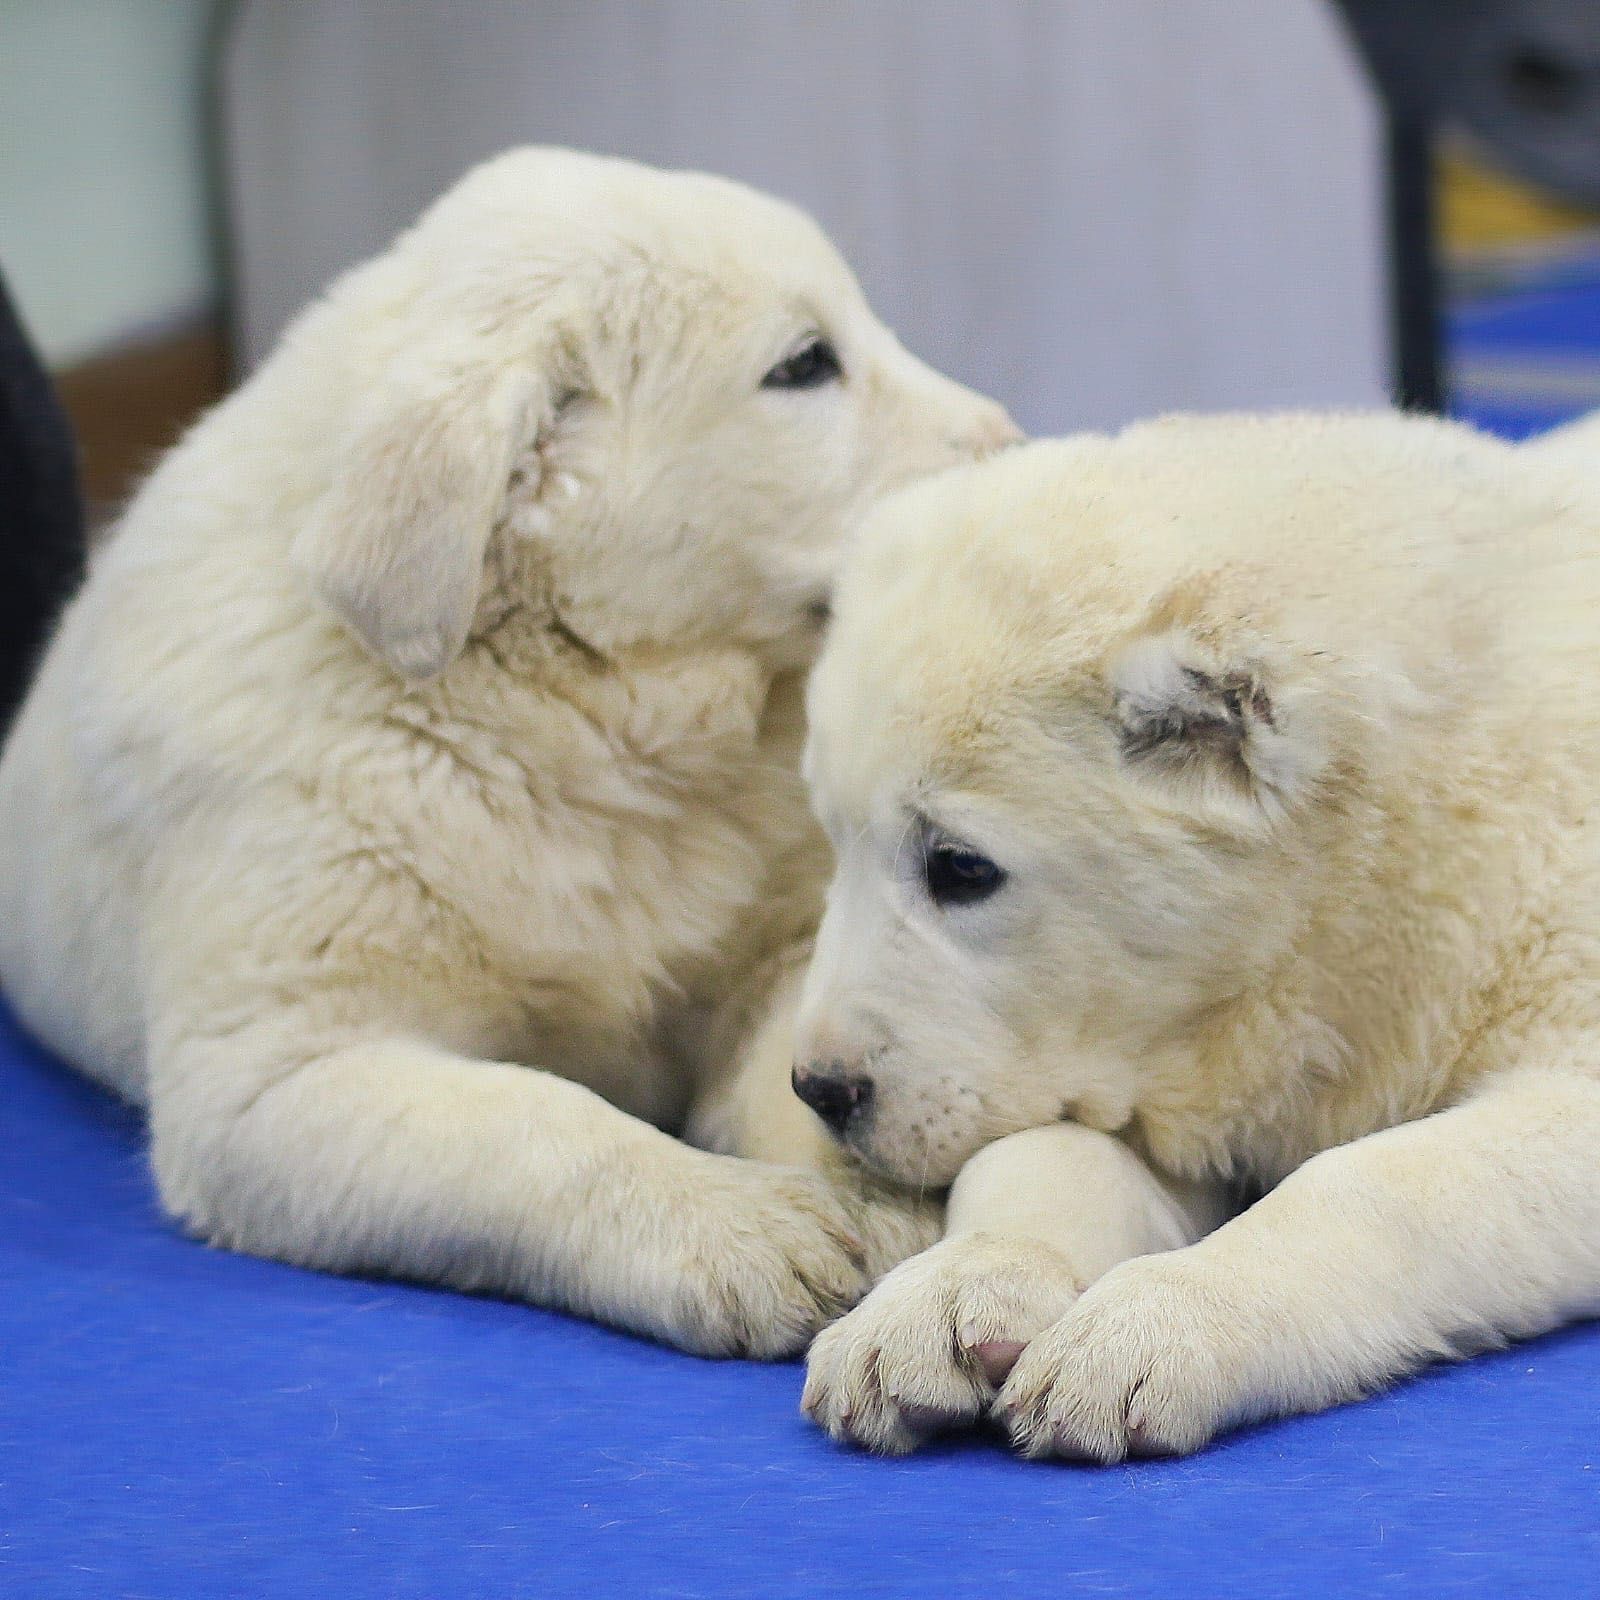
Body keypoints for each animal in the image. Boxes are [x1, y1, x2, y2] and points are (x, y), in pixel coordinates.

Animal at [0, 150, 1017, 1356]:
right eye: (804, 365)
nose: (1014, 445)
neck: (583, 713)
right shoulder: (278, 1065)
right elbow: (533, 1118)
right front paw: (735, 1228)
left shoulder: (785, 944)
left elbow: (806, 1056)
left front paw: (872, 1193)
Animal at [796, 416, 1600, 1465]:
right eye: (832, 840)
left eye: (961, 869)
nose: (820, 1089)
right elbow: (1042, 1149)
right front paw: (950, 1295)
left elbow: (1375, 1178)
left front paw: (1155, 1327)